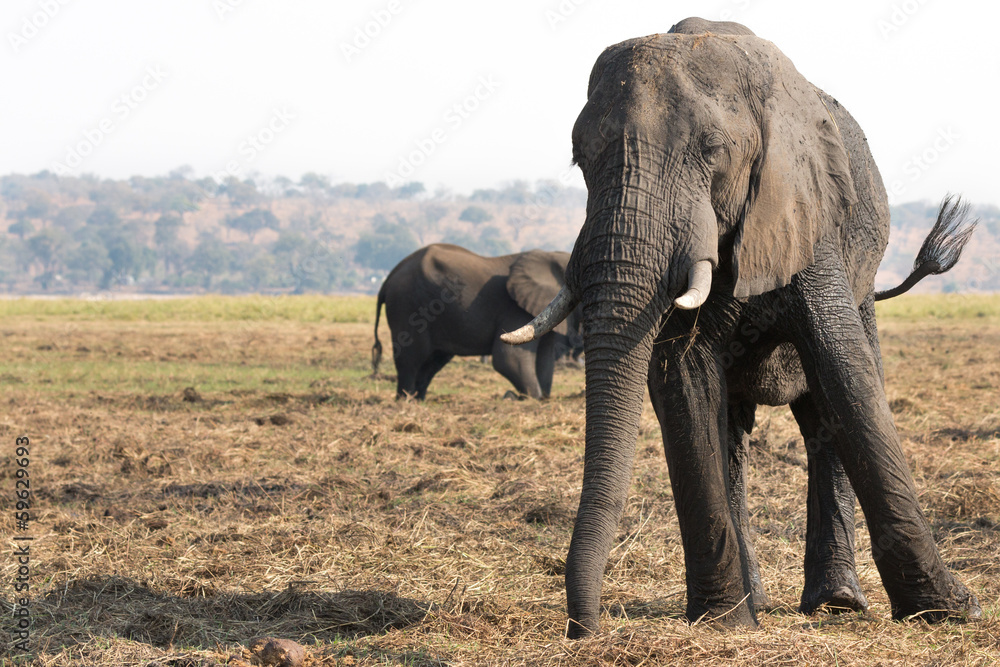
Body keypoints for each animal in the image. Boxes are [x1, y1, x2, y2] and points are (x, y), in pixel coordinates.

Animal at [372, 243, 582, 399]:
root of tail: (390, 276)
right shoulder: (515, 310)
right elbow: (508, 360)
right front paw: (530, 398)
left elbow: (545, 360)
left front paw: (541, 399)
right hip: (407, 306)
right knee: (411, 359)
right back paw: (404, 401)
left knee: (432, 361)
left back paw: (418, 400)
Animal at [502, 18, 980, 636]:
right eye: (580, 160)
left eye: (712, 151)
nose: (585, 630)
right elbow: (683, 380)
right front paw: (723, 623)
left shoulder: (804, 209)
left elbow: (845, 370)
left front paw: (950, 610)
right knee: (732, 431)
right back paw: (758, 602)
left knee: (828, 406)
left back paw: (836, 603)